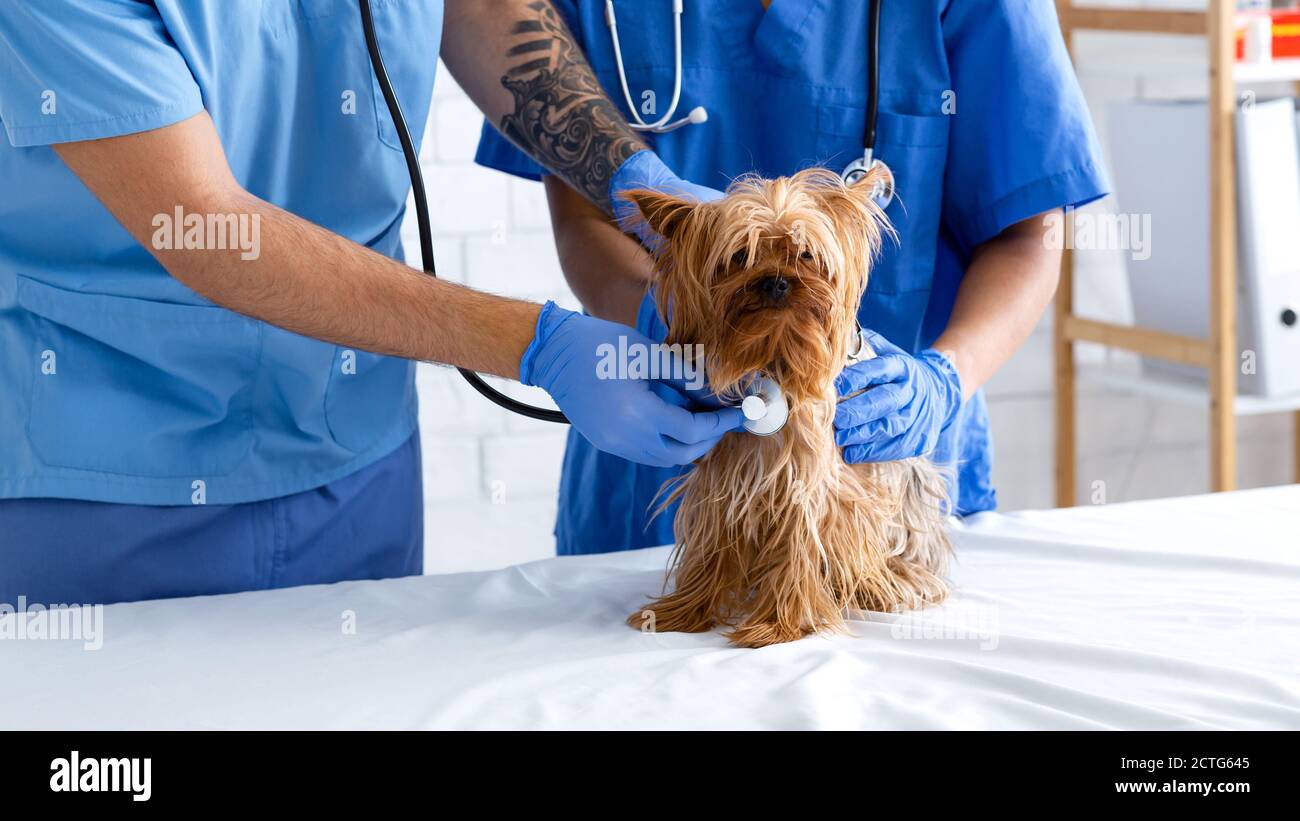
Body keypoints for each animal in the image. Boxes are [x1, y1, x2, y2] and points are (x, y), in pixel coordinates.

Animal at [624, 166, 951, 646]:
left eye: (806, 254)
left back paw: (889, 584)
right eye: (740, 255)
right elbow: (713, 544)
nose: (776, 281)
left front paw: (780, 624)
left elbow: (800, 544)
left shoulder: (808, 481)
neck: (775, 356)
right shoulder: (725, 476)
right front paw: (684, 610)